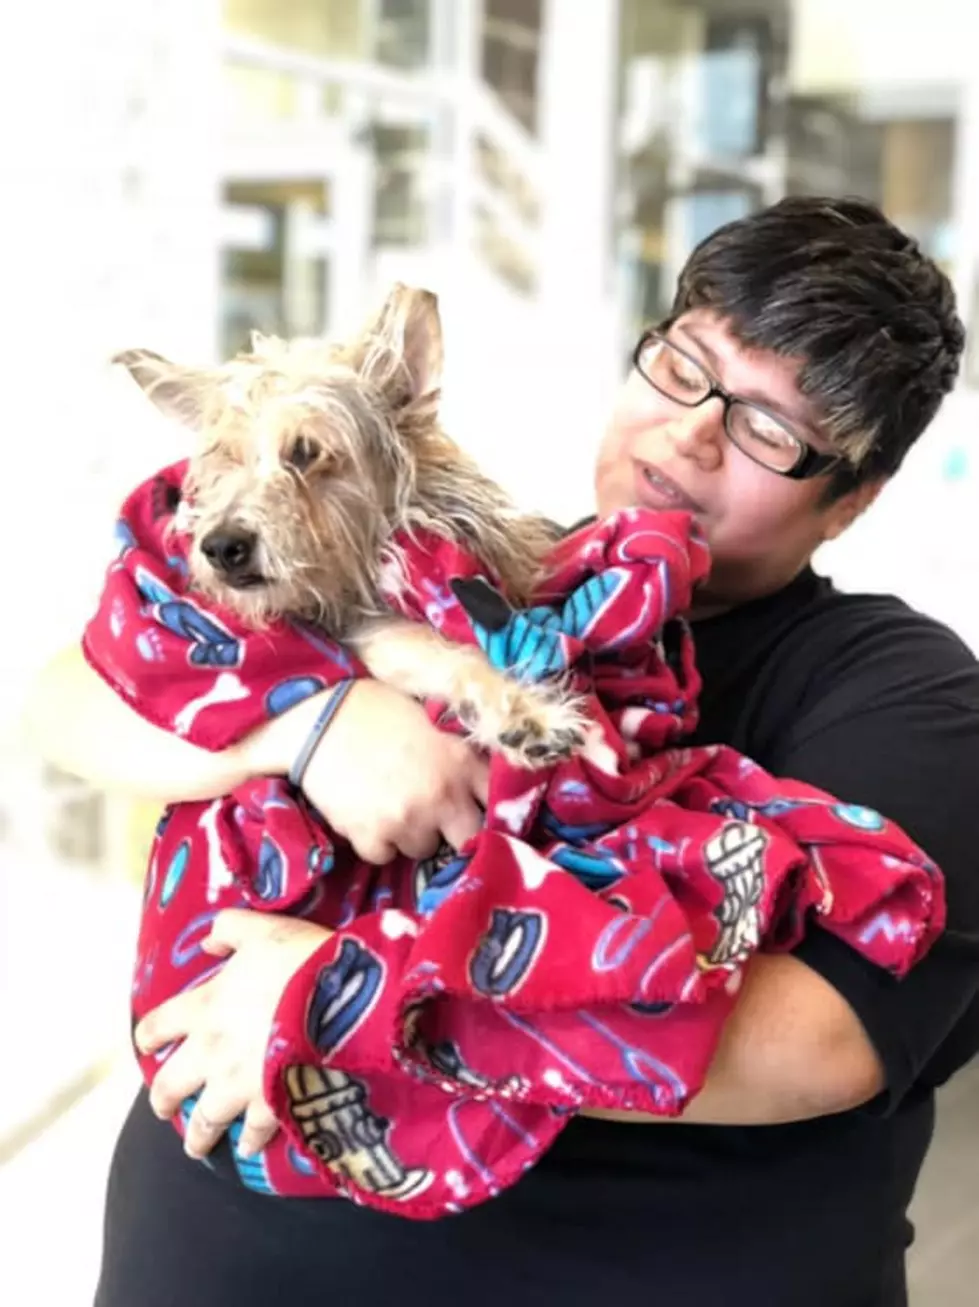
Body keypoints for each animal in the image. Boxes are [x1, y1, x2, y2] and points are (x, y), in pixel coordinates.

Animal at [114, 279, 588, 763]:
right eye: (225, 459)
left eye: (306, 451)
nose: (222, 547)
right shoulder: (364, 631)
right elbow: (438, 651)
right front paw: (521, 711)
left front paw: (522, 710)